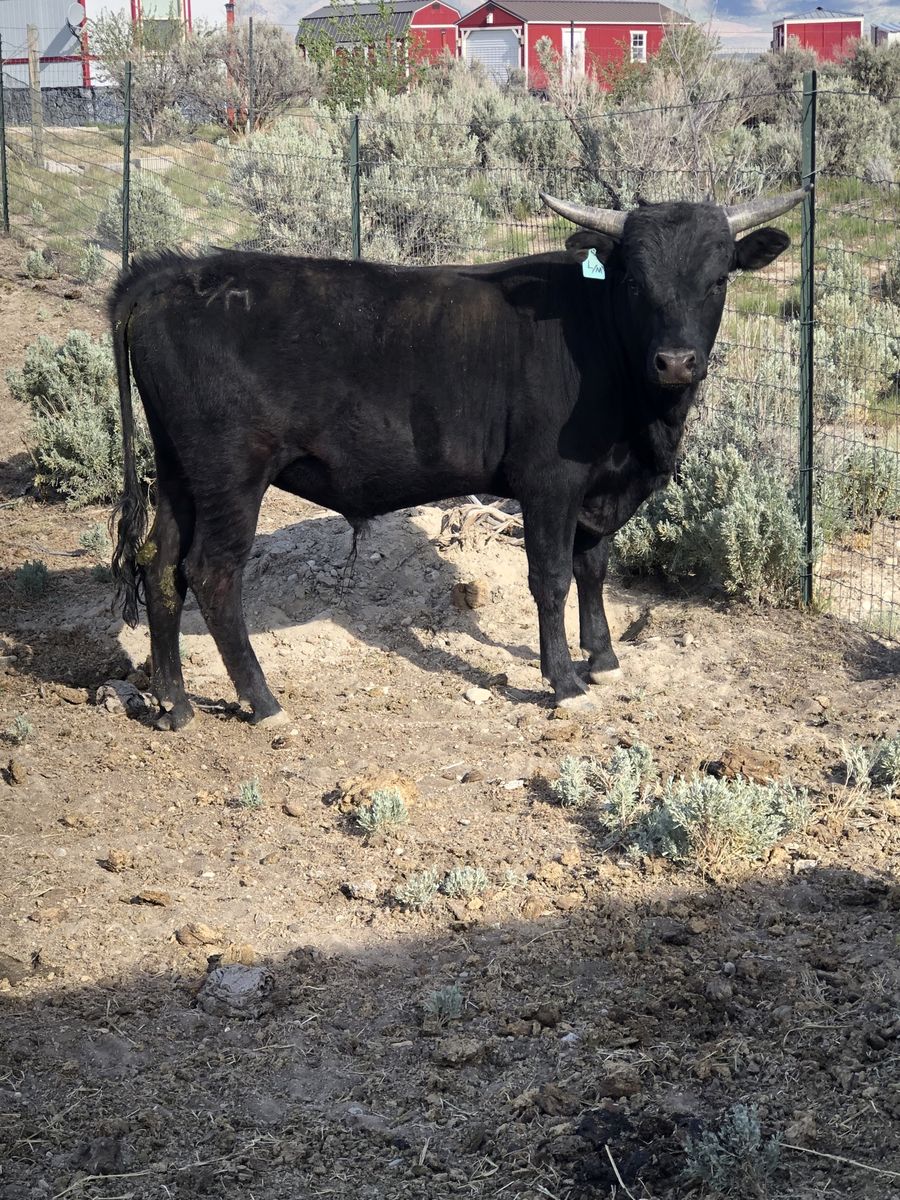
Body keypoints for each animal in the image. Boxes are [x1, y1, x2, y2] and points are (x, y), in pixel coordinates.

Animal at [110, 188, 805, 731]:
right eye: (635, 282)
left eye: (718, 279)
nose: (677, 361)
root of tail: (172, 274)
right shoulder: (549, 482)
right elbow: (552, 577)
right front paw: (565, 683)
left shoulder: (597, 488)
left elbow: (594, 567)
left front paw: (603, 659)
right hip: (231, 476)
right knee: (212, 574)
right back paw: (263, 702)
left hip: (179, 472)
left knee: (160, 564)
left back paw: (174, 702)